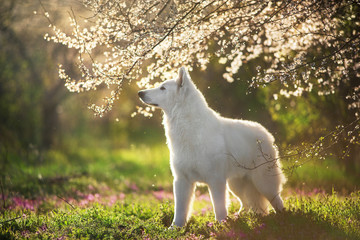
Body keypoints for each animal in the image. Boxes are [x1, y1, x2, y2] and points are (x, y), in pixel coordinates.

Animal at [139, 67, 286, 227]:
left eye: (163, 88)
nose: (140, 93)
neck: (187, 125)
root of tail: (265, 132)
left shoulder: (215, 180)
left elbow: (219, 207)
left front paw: (221, 226)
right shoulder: (181, 180)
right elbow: (180, 210)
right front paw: (175, 228)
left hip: (262, 183)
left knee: (277, 201)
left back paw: (283, 218)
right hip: (236, 184)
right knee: (247, 204)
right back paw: (239, 218)